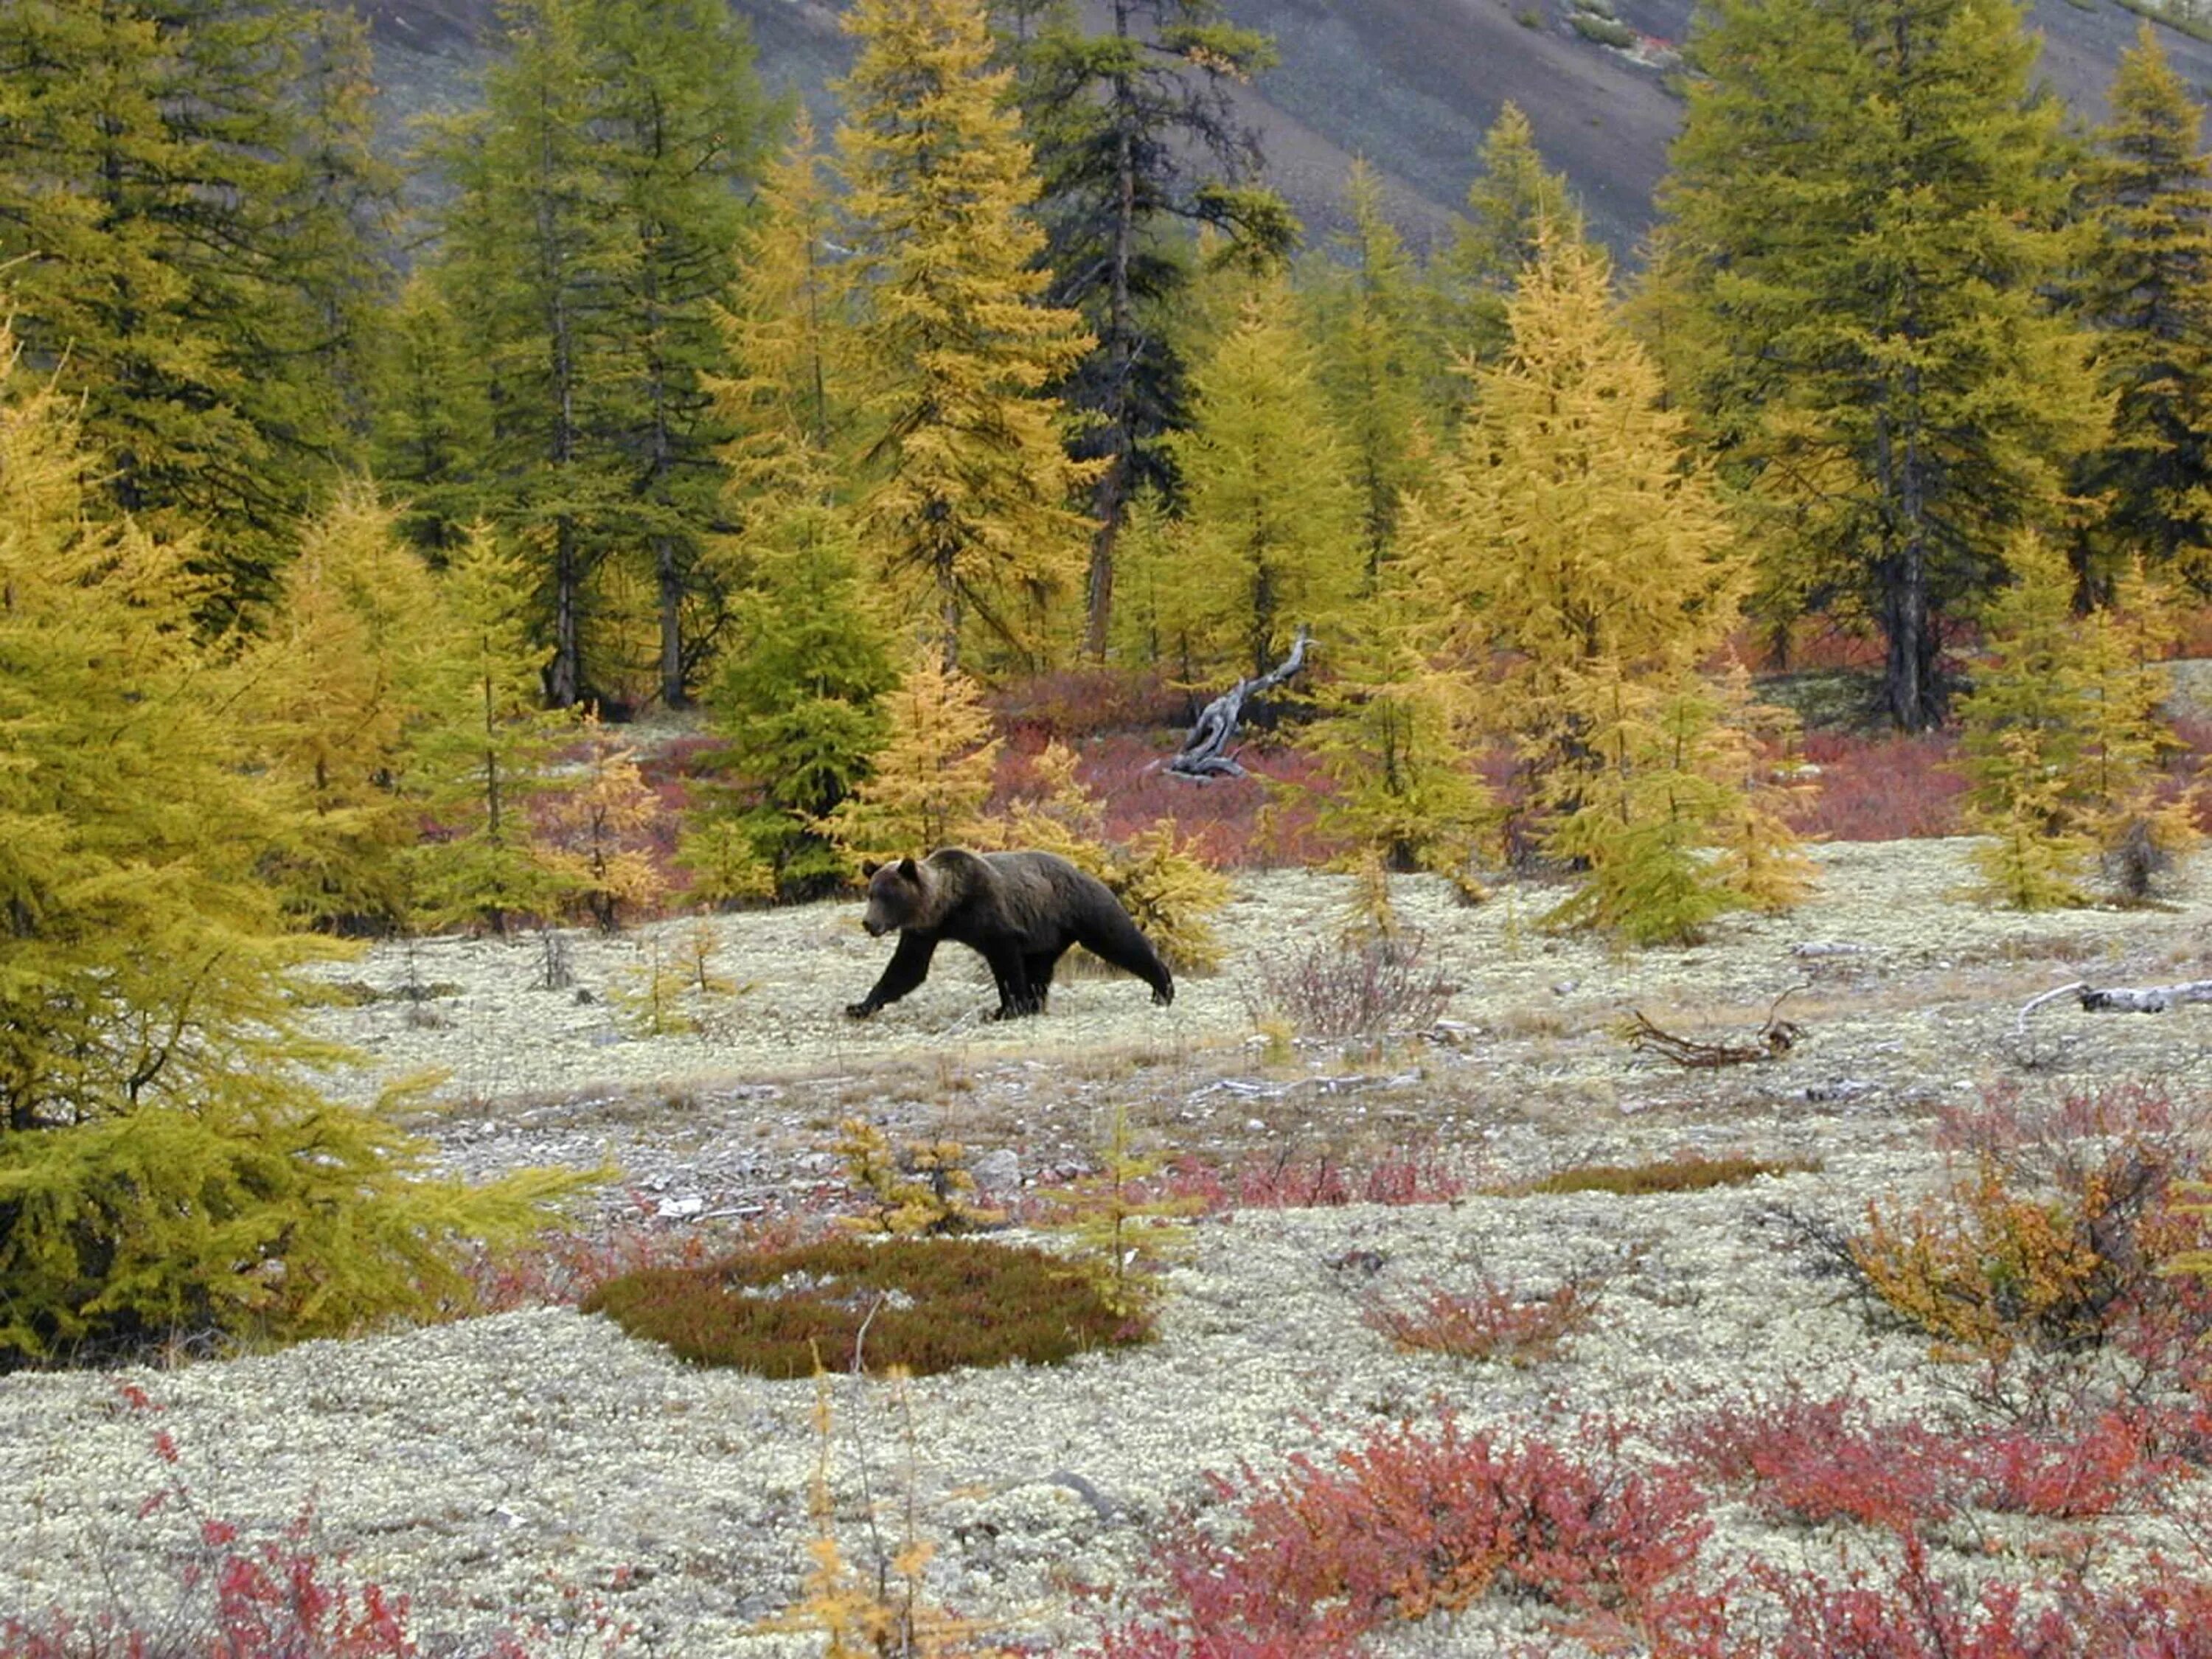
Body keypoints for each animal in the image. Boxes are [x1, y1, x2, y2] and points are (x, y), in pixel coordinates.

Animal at [845, 849, 1177, 1022]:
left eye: (888, 896)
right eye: (872, 894)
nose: (869, 923)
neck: (949, 907)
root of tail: (1088, 874)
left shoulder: (994, 919)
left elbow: (1006, 965)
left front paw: (1006, 1009)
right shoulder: (924, 931)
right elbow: (907, 967)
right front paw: (859, 1006)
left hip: (1083, 910)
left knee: (1119, 942)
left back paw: (1162, 988)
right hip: (1047, 933)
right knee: (1041, 969)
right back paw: (1037, 1004)